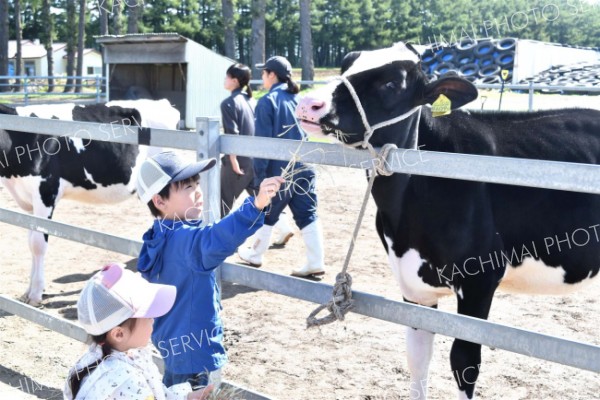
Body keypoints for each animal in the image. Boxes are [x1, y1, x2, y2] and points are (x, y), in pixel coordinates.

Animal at [0, 100, 179, 306]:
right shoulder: (28, 200)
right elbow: (30, 242)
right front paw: (28, 291)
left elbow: (37, 245)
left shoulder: (46, 193)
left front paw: (36, 294)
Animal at [296, 42, 600, 398]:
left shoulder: (480, 279)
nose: (309, 103)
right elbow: (417, 356)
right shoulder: (412, 284)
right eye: (346, 64)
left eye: (392, 83)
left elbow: (464, 361)